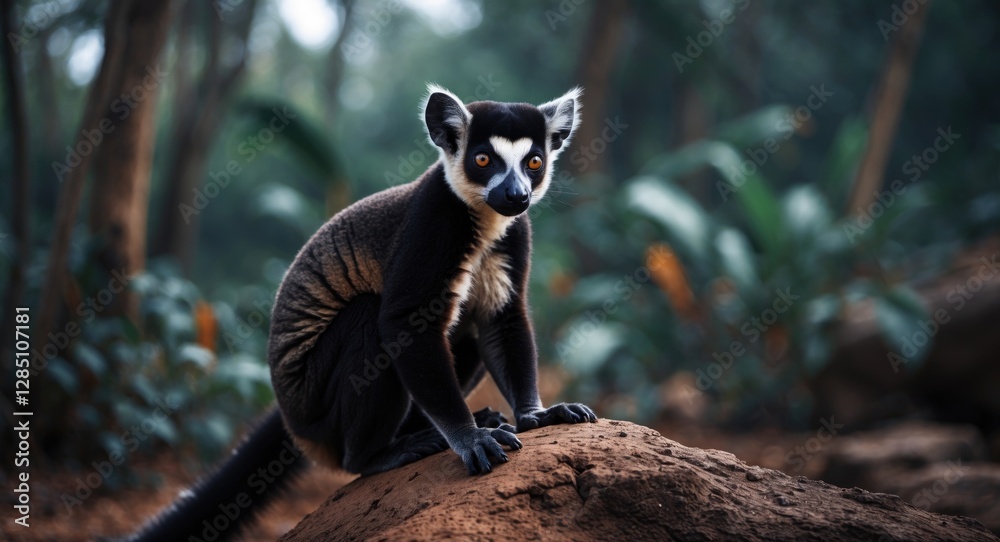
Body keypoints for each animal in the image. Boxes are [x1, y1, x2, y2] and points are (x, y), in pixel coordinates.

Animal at [125, 85, 596, 541]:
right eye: (483, 160)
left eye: (534, 163)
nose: (516, 195)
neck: (481, 219)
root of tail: (296, 420)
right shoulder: (431, 223)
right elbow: (402, 325)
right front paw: (469, 438)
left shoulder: (515, 233)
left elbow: (501, 319)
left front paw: (534, 415)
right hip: (320, 408)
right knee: (371, 322)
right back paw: (378, 454)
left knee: (465, 328)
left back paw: (424, 430)